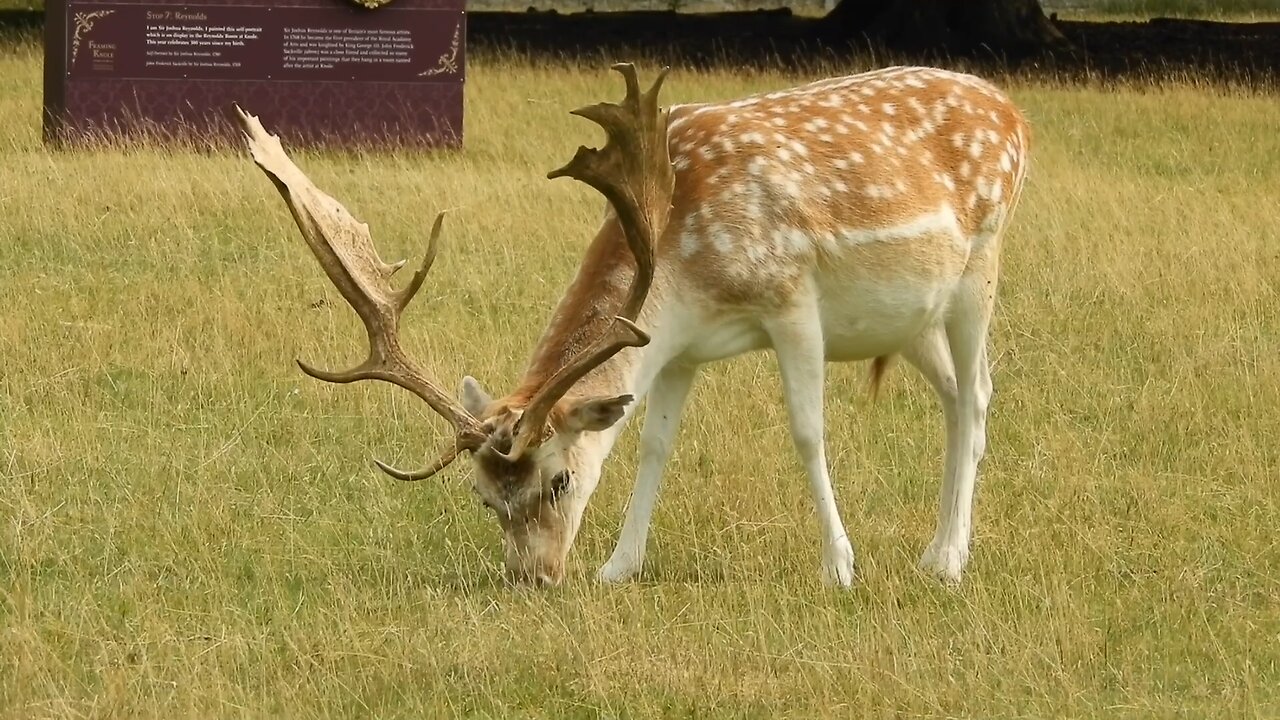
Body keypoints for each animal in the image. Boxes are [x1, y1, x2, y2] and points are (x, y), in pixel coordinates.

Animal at [238, 61, 1029, 586]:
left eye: (558, 481)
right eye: (482, 496)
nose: (533, 576)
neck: (685, 266)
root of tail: (1011, 107)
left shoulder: (791, 298)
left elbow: (808, 433)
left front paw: (840, 566)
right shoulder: (679, 347)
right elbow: (653, 443)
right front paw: (619, 567)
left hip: (982, 265)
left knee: (979, 394)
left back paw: (949, 562)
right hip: (913, 319)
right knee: (956, 397)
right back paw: (940, 549)